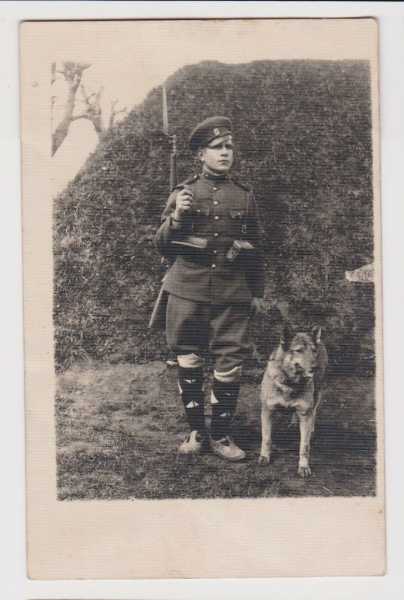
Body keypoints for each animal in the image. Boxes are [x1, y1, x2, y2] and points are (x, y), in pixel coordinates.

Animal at [258, 326, 328, 476]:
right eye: (299, 350)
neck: (290, 383)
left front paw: (303, 466)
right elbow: (266, 438)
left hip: (317, 395)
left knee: (314, 412)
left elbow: (304, 446)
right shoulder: (267, 411)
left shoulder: (305, 413)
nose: (315, 367)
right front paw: (265, 456)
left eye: (313, 350)